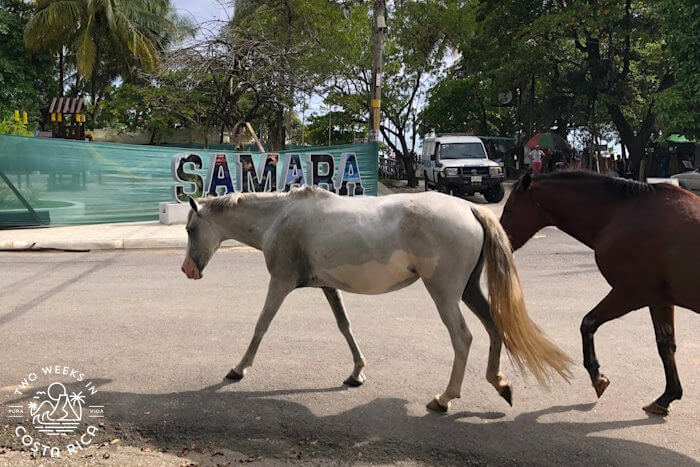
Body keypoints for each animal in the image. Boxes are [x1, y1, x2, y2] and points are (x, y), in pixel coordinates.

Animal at [180, 187, 568, 414]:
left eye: (189, 229)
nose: (187, 270)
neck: (280, 216)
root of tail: (470, 210)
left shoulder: (281, 282)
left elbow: (261, 324)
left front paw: (239, 368)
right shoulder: (328, 286)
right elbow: (344, 326)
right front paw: (356, 372)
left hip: (443, 292)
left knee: (463, 337)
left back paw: (444, 398)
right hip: (470, 289)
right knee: (493, 328)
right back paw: (499, 383)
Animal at [500, 172, 696, 416]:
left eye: (509, 209)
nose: (498, 238)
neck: (624, 213)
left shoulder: (630, 293)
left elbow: (588, 323)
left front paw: (597, 376)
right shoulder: (658, 299)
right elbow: (665, 344)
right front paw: (667, 396)